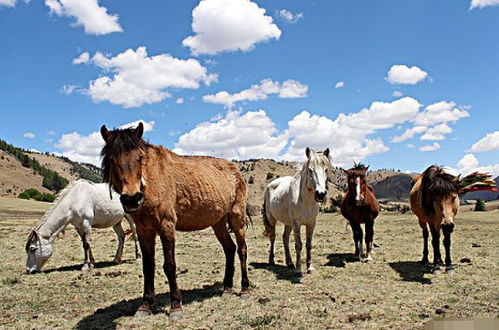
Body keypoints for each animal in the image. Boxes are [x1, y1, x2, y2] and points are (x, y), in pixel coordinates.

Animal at [99, 123, 250, 320]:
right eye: (111, 159)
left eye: (140, 158)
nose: (131, 199)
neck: (151, 183)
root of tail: (236, 169)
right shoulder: (144, 231)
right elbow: (148, 266)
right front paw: (146, 305)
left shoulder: (167, 226)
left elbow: (169, 265)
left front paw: (176, 306)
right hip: (218, 222)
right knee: (230, 249)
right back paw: (227, 289)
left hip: (237, 217)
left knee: (242, 250)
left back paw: (245, 289)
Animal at [264, 148, 330, 276]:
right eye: (310, 170)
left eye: (326, 170)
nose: (320, 194)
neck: (305, 200)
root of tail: (271, 184)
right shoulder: (296, 224)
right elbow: (298, 245)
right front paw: (298, 269)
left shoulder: (311, 224)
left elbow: (309, 245)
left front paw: (310, 267)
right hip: (272, 219)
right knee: (272, 237)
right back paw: (271, 260)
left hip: (288, 223)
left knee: (285, 238)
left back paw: (290, 263)